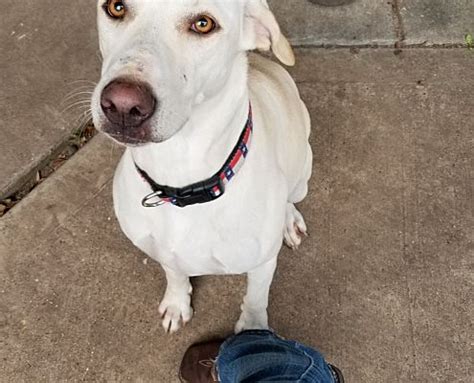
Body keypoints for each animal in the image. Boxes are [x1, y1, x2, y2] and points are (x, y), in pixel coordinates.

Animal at [93, 0, 312, 332]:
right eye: (116, 7)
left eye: (203, 24)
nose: (122, 106)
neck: (181, 181)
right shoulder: (165, 253)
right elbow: (174, 273)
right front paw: (176, 303)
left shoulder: (262, 265)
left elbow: (255, 298)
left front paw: (252, 328)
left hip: (303, 174)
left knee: (291, 196)